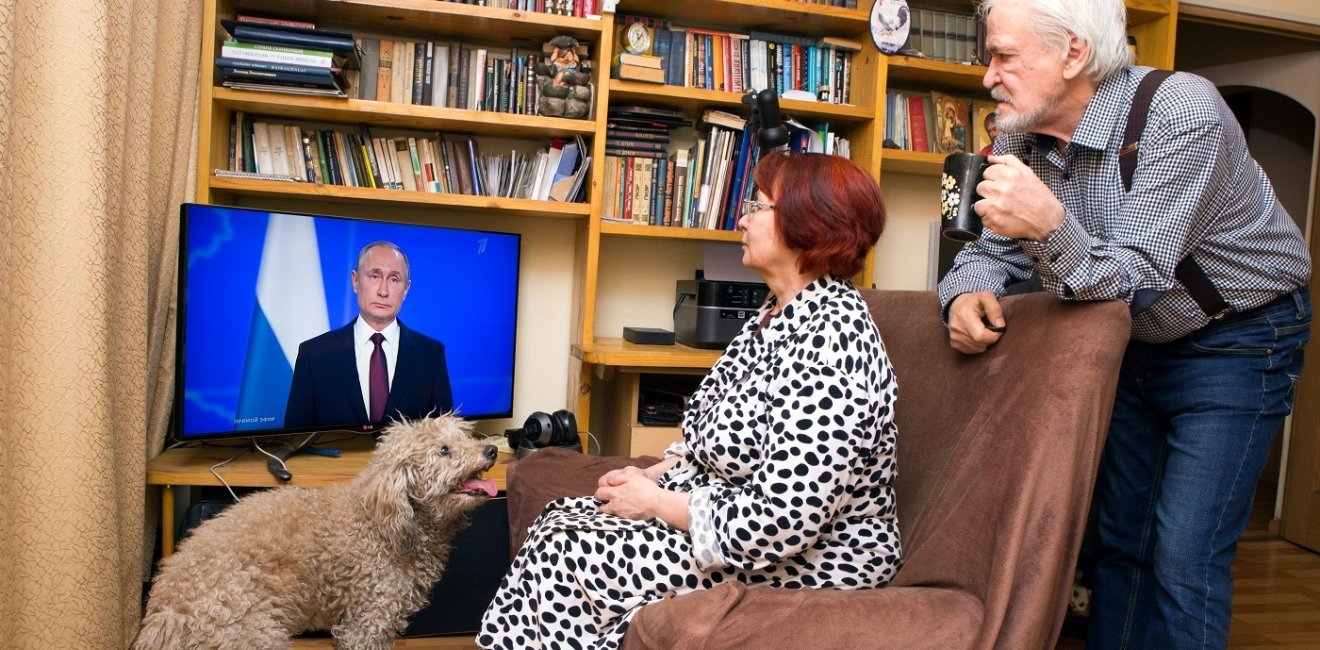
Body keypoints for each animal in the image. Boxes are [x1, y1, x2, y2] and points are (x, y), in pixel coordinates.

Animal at [133, 417, 496, 650]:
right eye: (444, 450)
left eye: (466, 438)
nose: (491, 450)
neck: (381, 521)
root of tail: (162, 617)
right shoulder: (368, 621)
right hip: (251, 634)